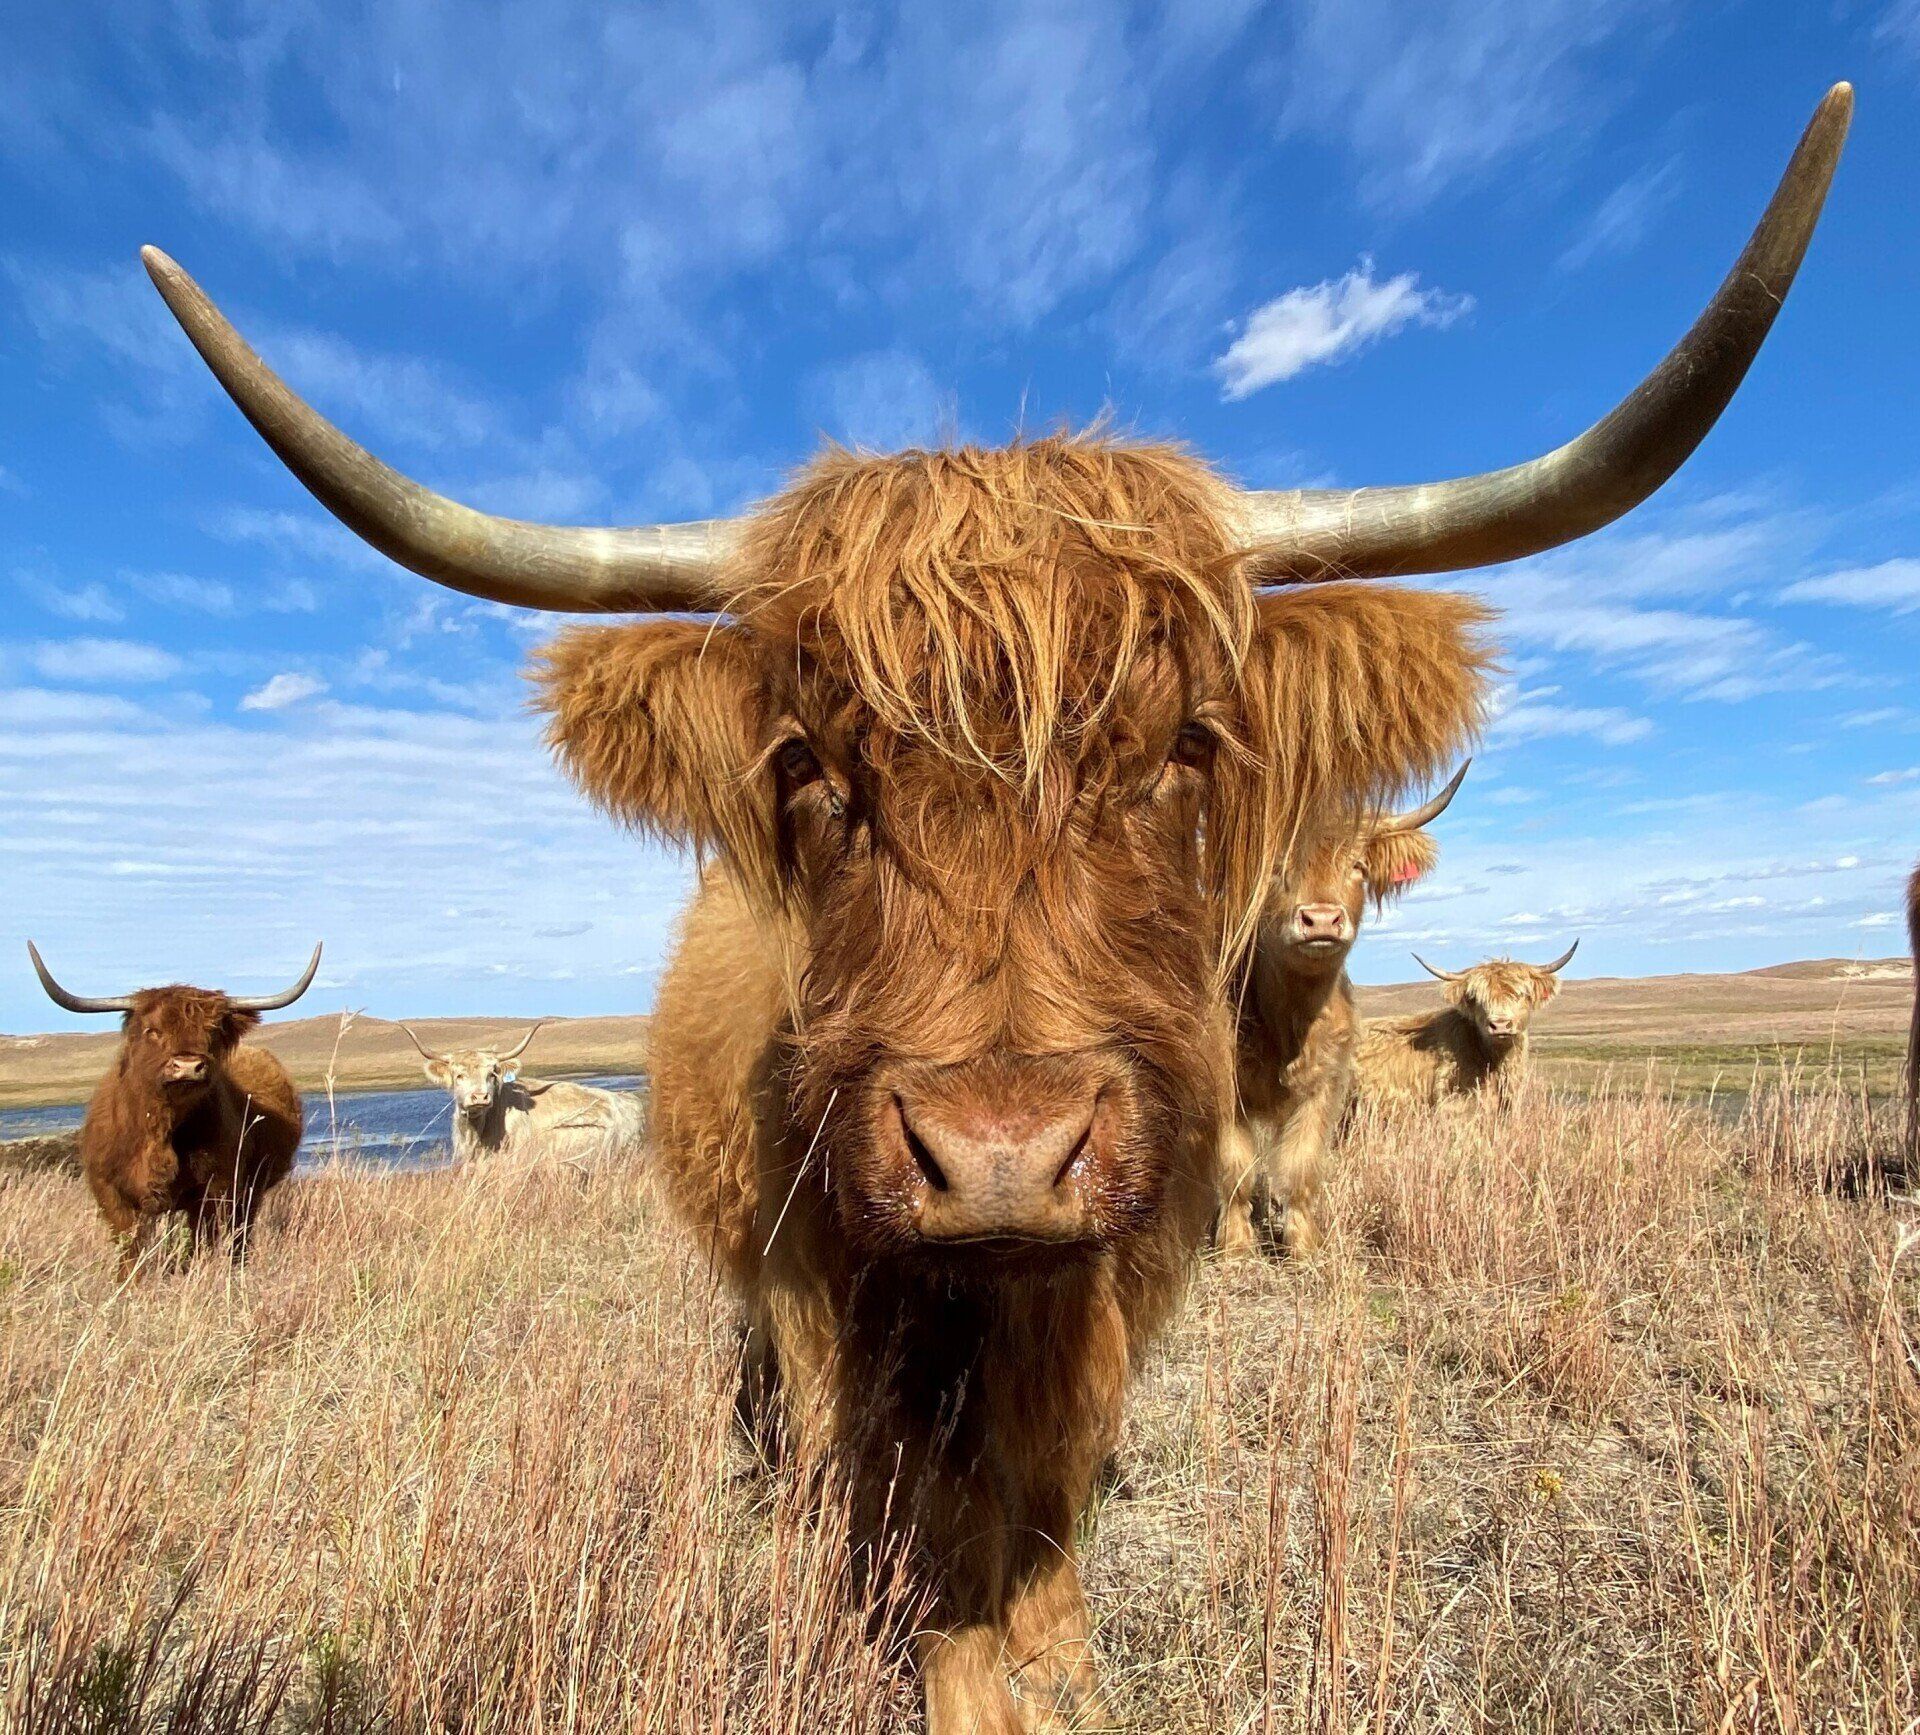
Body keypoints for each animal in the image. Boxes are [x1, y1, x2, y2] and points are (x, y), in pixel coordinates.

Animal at [27, 942, 319, 1274]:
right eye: (152, 1030)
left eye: (212, 1031)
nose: (188, 1065)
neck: (159, 1126)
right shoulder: (111, 1193)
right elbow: (131, 1250)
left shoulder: (215, 1190)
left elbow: (201, 1243)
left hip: (251, 1189)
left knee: (241, 1233)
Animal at [1217, 762, 1466, 1260]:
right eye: (1278, 868)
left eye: (1358, 866)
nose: (1321, 919)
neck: (1290, 1021)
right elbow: (1235, 1167)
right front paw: (1235, 1245)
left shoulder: (1327, 1084)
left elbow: (1300, 1165)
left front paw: (1303, 1246)